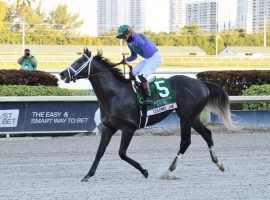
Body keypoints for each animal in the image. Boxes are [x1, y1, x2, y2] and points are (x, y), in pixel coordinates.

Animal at [59, 48, 234, 181]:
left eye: (79, 61)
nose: (62, 74)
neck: (115, 95)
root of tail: (201, 83)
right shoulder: (109, 127)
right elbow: (100, 151)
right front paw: (88, 175)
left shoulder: (128, 128)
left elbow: (122, 153)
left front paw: (144, 171)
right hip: (193, 117)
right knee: (207, 134)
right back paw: (219, 164)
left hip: (186, 117)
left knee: (185, 142)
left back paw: (168, 170)